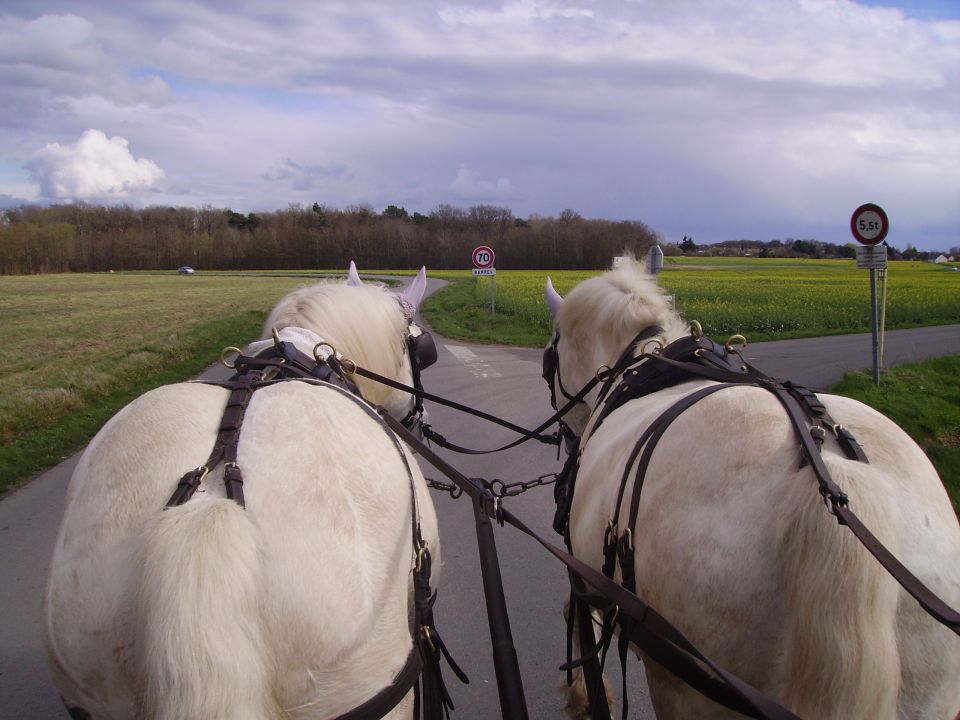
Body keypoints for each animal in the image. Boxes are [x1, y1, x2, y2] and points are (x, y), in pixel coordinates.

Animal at [548, 258, 960, 720]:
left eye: (552, 352)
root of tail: (832, 471)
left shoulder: (585, 577)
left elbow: (577, 622)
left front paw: (583, 694)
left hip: (688, 683)